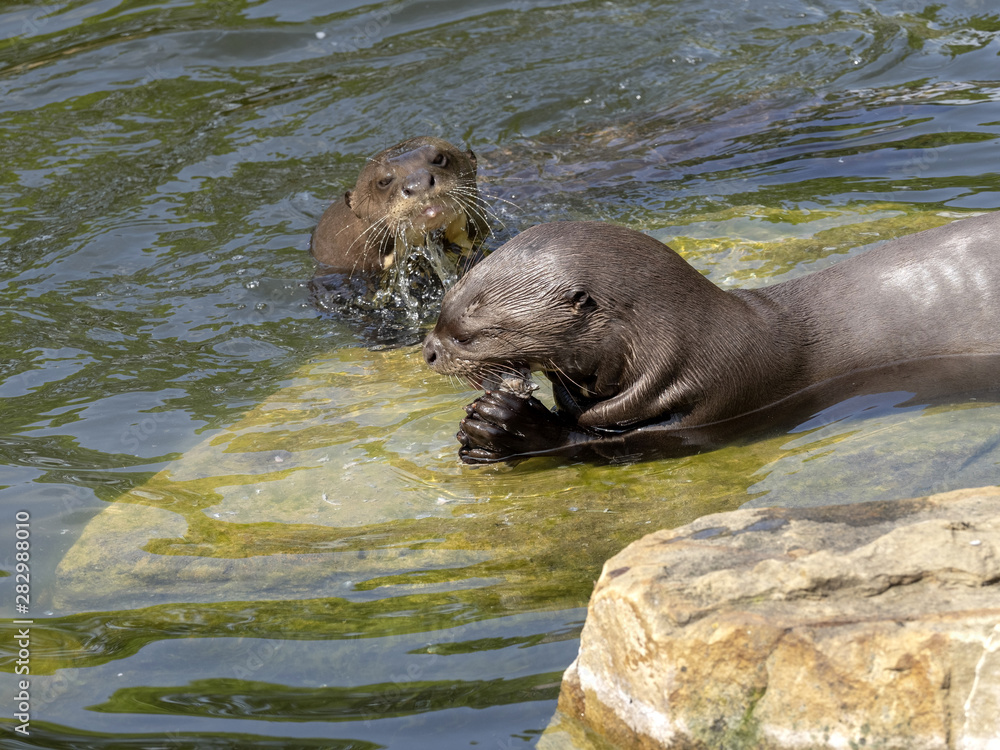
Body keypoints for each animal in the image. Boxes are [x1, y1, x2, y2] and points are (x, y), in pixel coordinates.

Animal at [422, 217, 1000, 463]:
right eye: (448, 298)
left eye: (472, 328)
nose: (428, 349)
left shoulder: (717, 401)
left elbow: (611, 443)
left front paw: (508, 428)